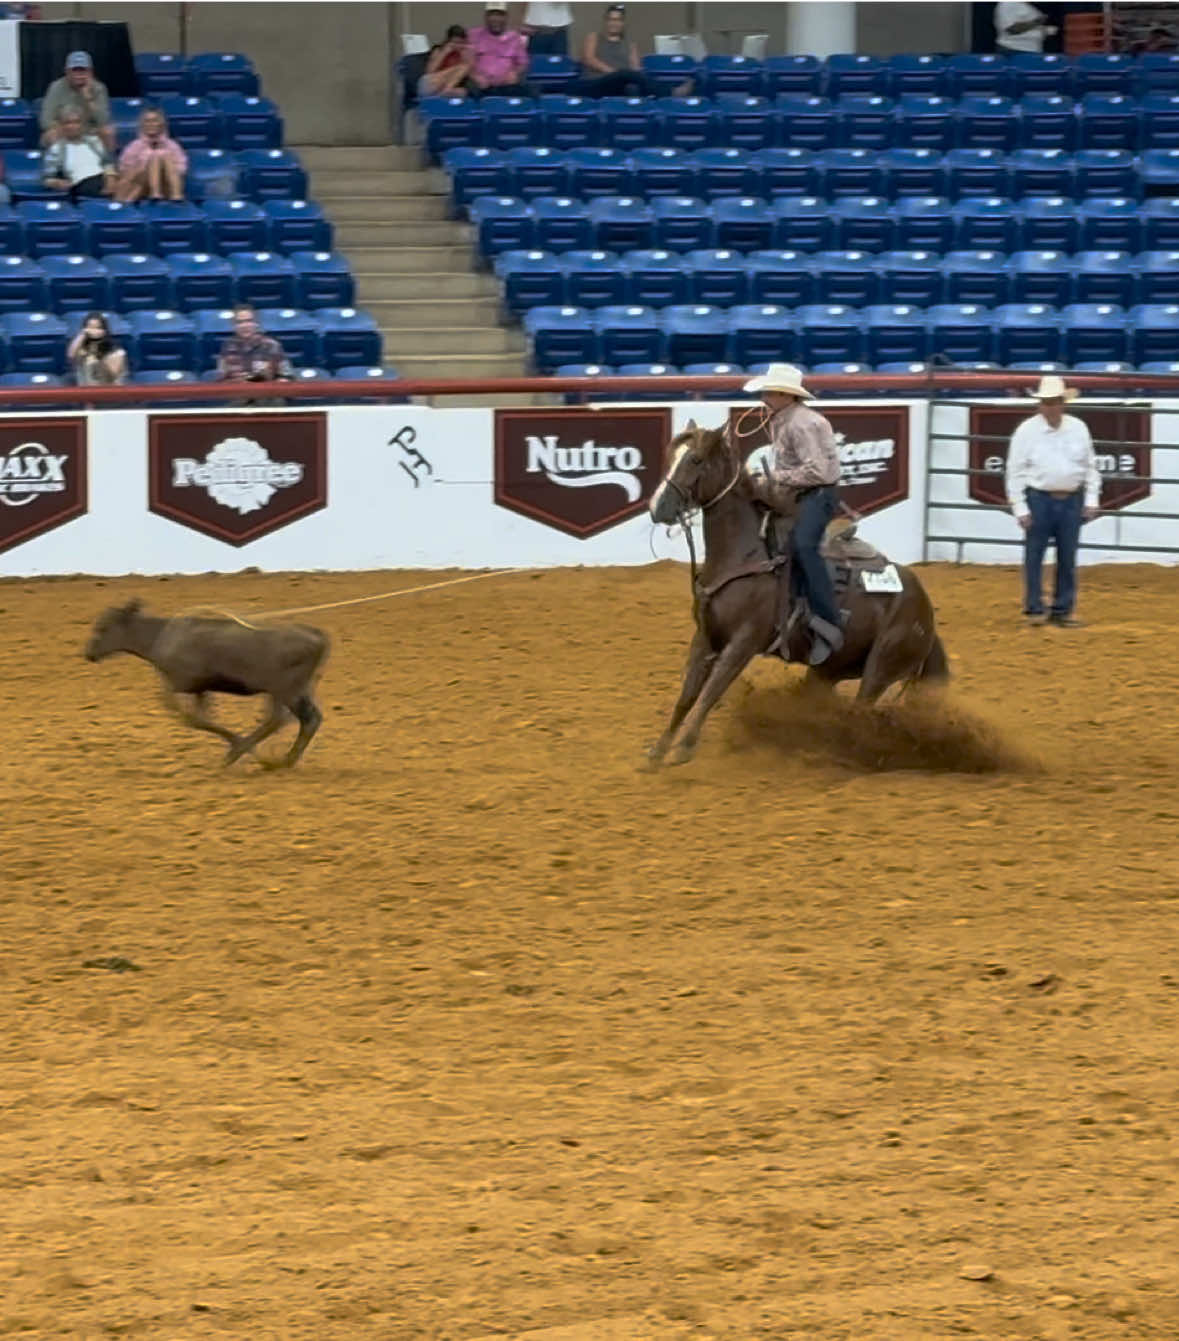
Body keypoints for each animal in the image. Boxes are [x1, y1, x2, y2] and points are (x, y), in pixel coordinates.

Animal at [646, 420, 950, 767]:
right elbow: (687, 695)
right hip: (827, 671)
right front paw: (659, 751)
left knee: (860, 712)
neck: (745, 554)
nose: (657, 507)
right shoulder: (705, 638)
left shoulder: (744, 642)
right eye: (671, 455)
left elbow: (712, 690)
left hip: (881, 667)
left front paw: (684, 748)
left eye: (695, 459)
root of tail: (926, 611)